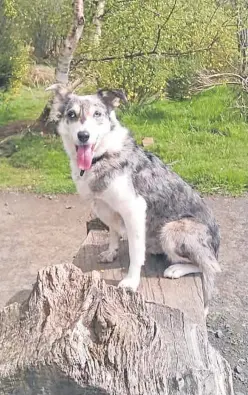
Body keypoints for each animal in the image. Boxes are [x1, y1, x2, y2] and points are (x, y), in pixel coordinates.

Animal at [48, 84, 221, 312]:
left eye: (97, 114)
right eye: (71, 115)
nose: (83, 135)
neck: (101, 156)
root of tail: (217, 247)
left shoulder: (134, 209)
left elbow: (135, 251)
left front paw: (131, 282)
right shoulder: (104, 207)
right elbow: (113, 233)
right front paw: (111, 252)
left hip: (171, 230)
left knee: (210, 266)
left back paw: (176, 269)